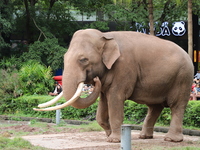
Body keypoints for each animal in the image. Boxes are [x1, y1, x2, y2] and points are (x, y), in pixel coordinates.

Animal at [34, 28, 194, 143]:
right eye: (65, 57)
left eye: (83, 59)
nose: (95, 80)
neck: (105, 36)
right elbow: (102, 106)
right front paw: (110, 135)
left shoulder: (124, 68)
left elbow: (115, 100)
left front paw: (113, 140)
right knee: (155, 107)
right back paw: (144, 137)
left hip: (183, 78)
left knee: (177, 105)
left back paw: (171, 139)